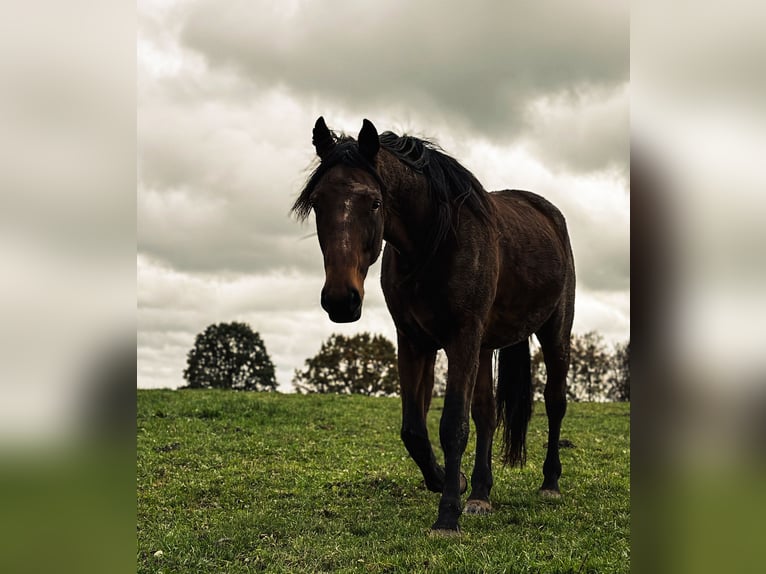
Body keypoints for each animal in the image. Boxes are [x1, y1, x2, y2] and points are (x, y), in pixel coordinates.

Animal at [294, 118, 576, 536]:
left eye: (374, 202)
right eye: (317, 203)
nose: (341, 300)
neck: (436, 243)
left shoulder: (461, 338)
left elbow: (452, 425)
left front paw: (447, 514)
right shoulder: (414, 341)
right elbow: (414, 429)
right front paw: (449, 481)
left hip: (554, 333)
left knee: (555, 404)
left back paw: (550, 483)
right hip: (485, 347)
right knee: (487, 413)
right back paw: (480, 494)